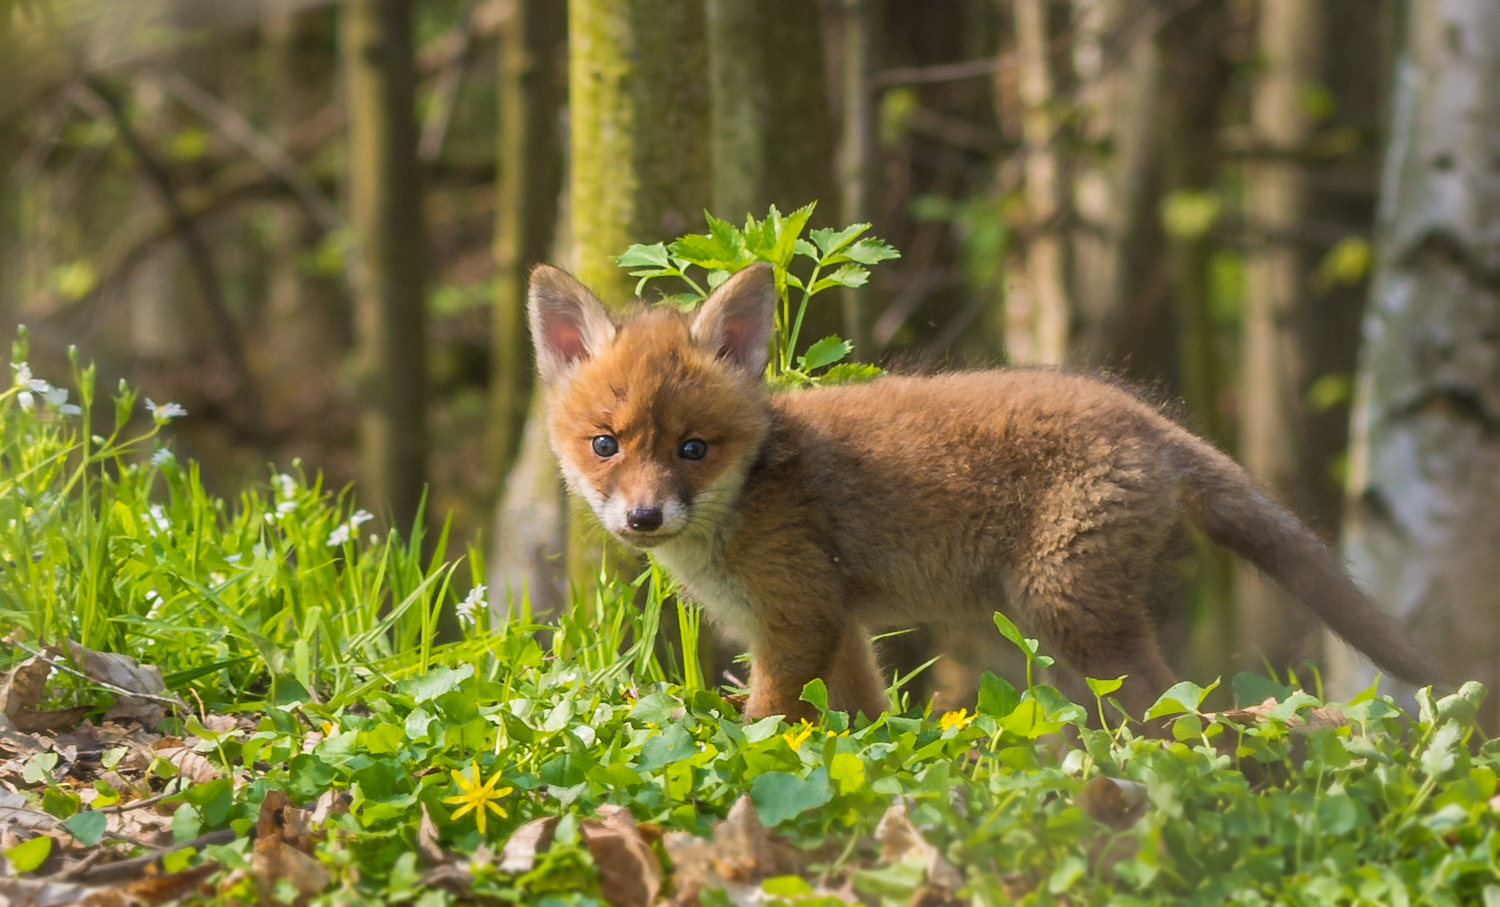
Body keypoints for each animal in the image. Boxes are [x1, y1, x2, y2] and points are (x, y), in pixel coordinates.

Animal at [525, 262, 1428, 722]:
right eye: (606, 445)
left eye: (693, 449)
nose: (644, 515)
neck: (749, 495)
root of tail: (1143, 417)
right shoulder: (835, 624)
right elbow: (861, 721)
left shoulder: (797, 618)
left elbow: (770, 721)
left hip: (1065, 610)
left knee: (1173, 710)